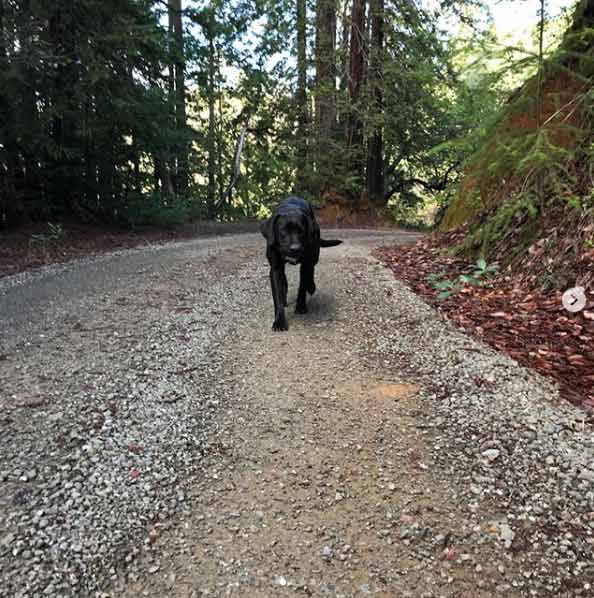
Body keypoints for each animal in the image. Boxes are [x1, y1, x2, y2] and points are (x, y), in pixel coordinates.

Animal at [260, 198, 340, 332]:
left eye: (301, 231)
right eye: (283, 231)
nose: (295, 248)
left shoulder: (305, 264)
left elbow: (302, 286)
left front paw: (301, 306)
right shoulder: (275, 268)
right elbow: (277, 296)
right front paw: (279, 321)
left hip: (314, 255)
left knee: (311, 271)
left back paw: (311, 286)